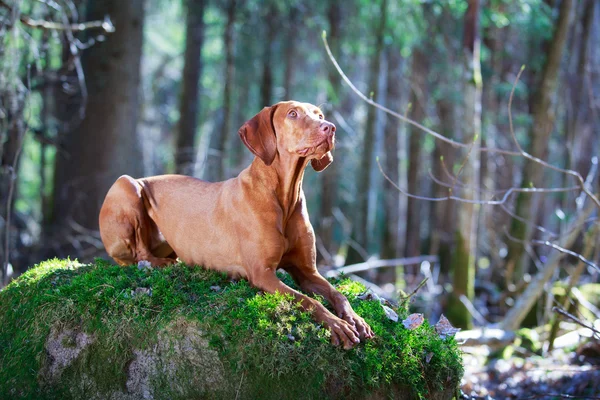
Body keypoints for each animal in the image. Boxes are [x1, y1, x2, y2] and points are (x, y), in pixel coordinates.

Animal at [99, 101, 372, 348]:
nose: (330, 127)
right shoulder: (262, 274)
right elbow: (308, 301)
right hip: (127, 184)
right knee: (141, 254)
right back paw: (162, 263)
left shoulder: (307, 271)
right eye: (293, 114)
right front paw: (337, 325)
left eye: (320, 115)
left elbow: (338, 294)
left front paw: (356, 319)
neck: (283, 196)